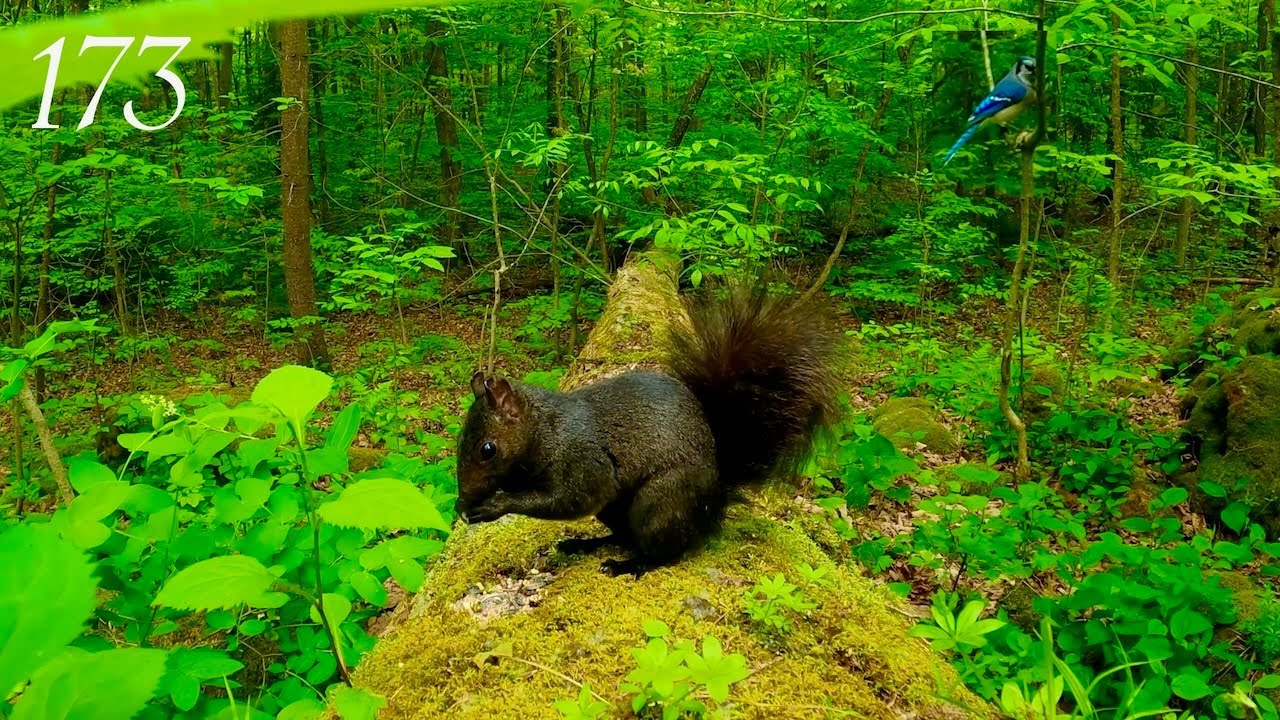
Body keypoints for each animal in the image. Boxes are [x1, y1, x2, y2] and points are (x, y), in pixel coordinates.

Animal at [455, 284, 842, 577]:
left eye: (487, 449)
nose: (463, 499)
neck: (546, 429)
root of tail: (712, 502)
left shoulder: (582, 461)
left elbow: (569, 499)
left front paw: (495, 505)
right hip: (615, 510)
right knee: (625, 536)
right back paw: (587, 543)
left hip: (659, 501)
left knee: (663, 551)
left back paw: (630, 564)